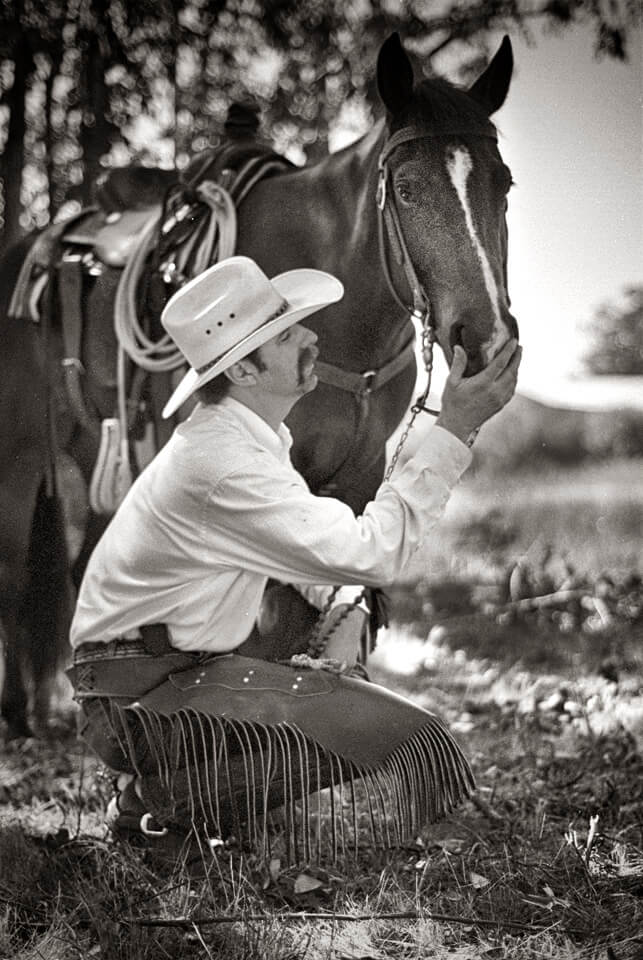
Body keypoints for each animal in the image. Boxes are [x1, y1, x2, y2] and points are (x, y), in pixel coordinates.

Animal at [0, 33, 516, 740]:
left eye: (505, 185)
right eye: (408, 189)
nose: (486, 338)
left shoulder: (353, 483)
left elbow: (304, 620)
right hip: (21, 457)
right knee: (12, 570)